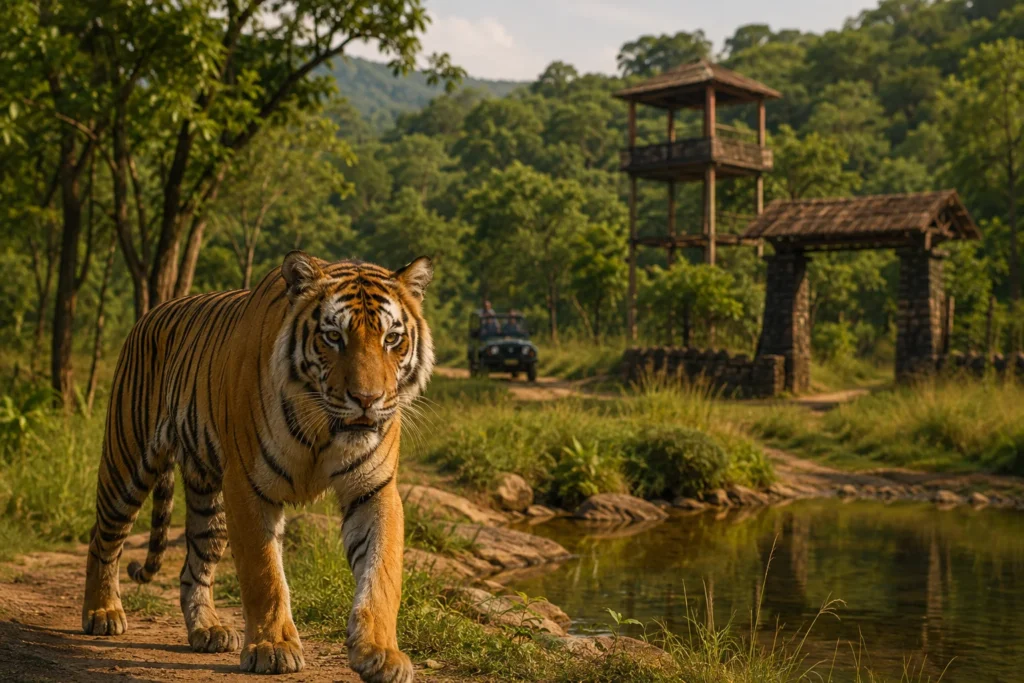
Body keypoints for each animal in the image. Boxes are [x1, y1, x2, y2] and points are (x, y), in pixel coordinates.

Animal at [81, 251, 434, 683]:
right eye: (334, 337)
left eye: (392, 339)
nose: (367, 400)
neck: (325, 428)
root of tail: (151, 313)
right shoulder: (248, 485)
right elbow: (264, 573)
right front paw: (273, 648)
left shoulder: (374, 490)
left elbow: (381, 573)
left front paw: (381, 653)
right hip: (127, 462)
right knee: (103, 538)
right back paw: (102, 612)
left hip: (209, 501)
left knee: (193, 566)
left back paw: (208, 629)